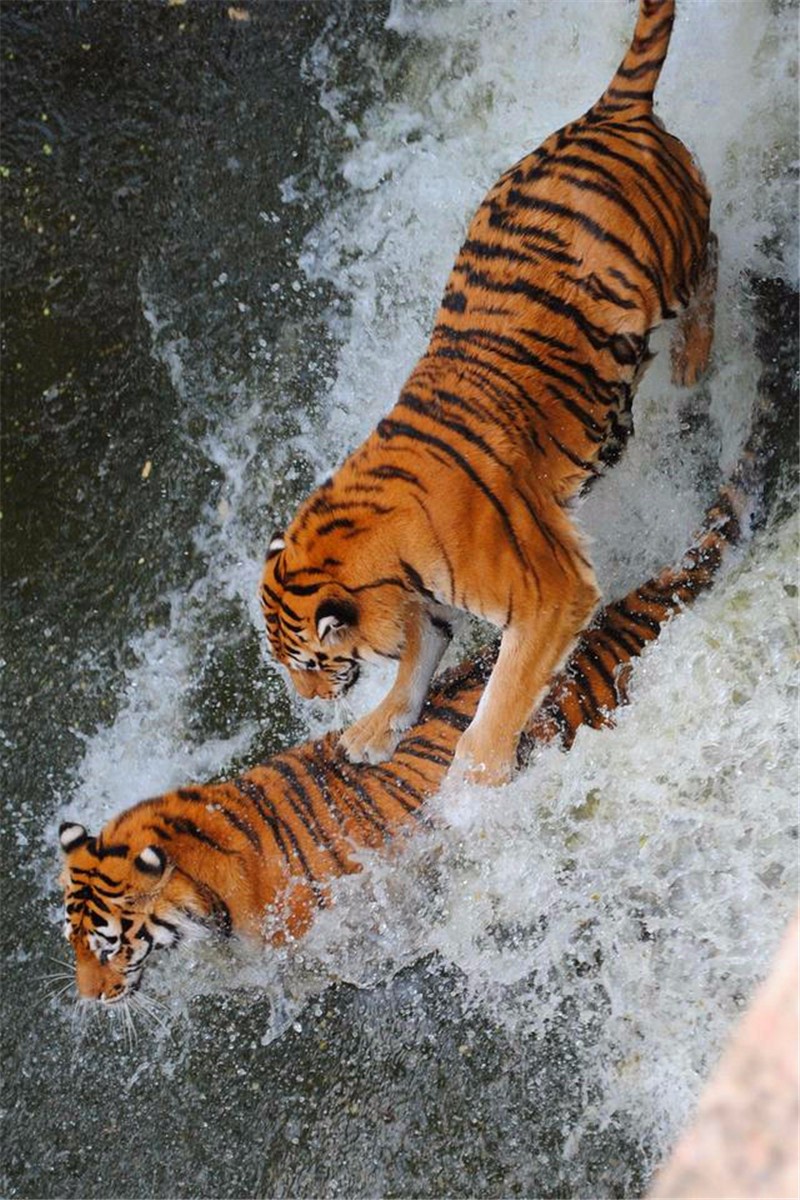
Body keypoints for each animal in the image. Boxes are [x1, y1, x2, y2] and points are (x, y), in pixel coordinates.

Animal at [262, 0, 719, 787]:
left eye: (307, 661)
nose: (310, 700)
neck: (375, 556)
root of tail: (609, 108)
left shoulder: (549, 590)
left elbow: (501, 695)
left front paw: (476, 782)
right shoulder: (425, 602)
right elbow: (414, 660)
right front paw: (375, 730)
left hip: (678, 265)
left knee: (714, 269)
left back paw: (696, 360)